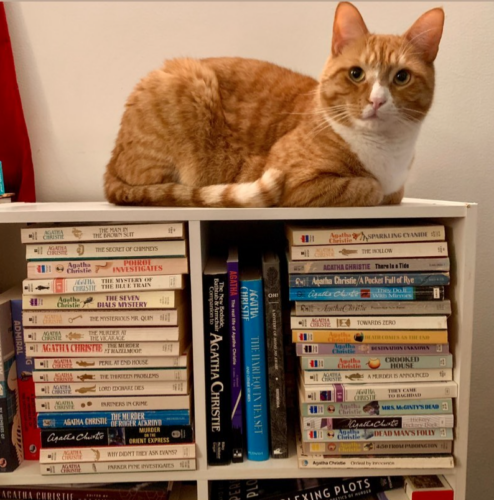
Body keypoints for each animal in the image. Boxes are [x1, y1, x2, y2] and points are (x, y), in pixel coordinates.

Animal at [104, 2, 444, 208]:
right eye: (356, 74)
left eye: (401, 77)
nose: (376, 100)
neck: (386, 150)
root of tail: (112, 161)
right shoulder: (296, 184)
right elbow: (370, 188)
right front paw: (372, 186)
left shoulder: (398, 189)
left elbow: (394, 193)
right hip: (190, 80)